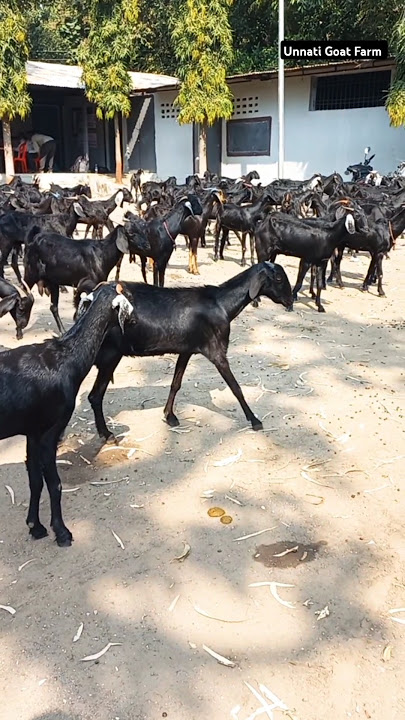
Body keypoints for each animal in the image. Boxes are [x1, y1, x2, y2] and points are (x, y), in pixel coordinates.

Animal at [0, 282, 136, 546]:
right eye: (127, 294)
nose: (135, 321)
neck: (65, 358)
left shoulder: (33, 432)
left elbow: (35, 480)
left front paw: (35, 527)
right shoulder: (51, 431)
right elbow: (55, 484)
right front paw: (61, 532)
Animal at [81, 263, 293, 443]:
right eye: (279, 278)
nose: (291, 301)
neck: (221, 304)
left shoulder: (187, 350)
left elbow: (176, 383)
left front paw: (169, 416)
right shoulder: (216, 352)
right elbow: (236, 388)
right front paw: (254, 420)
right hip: (110, 355)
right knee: (95, 396)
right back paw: (106, 434)